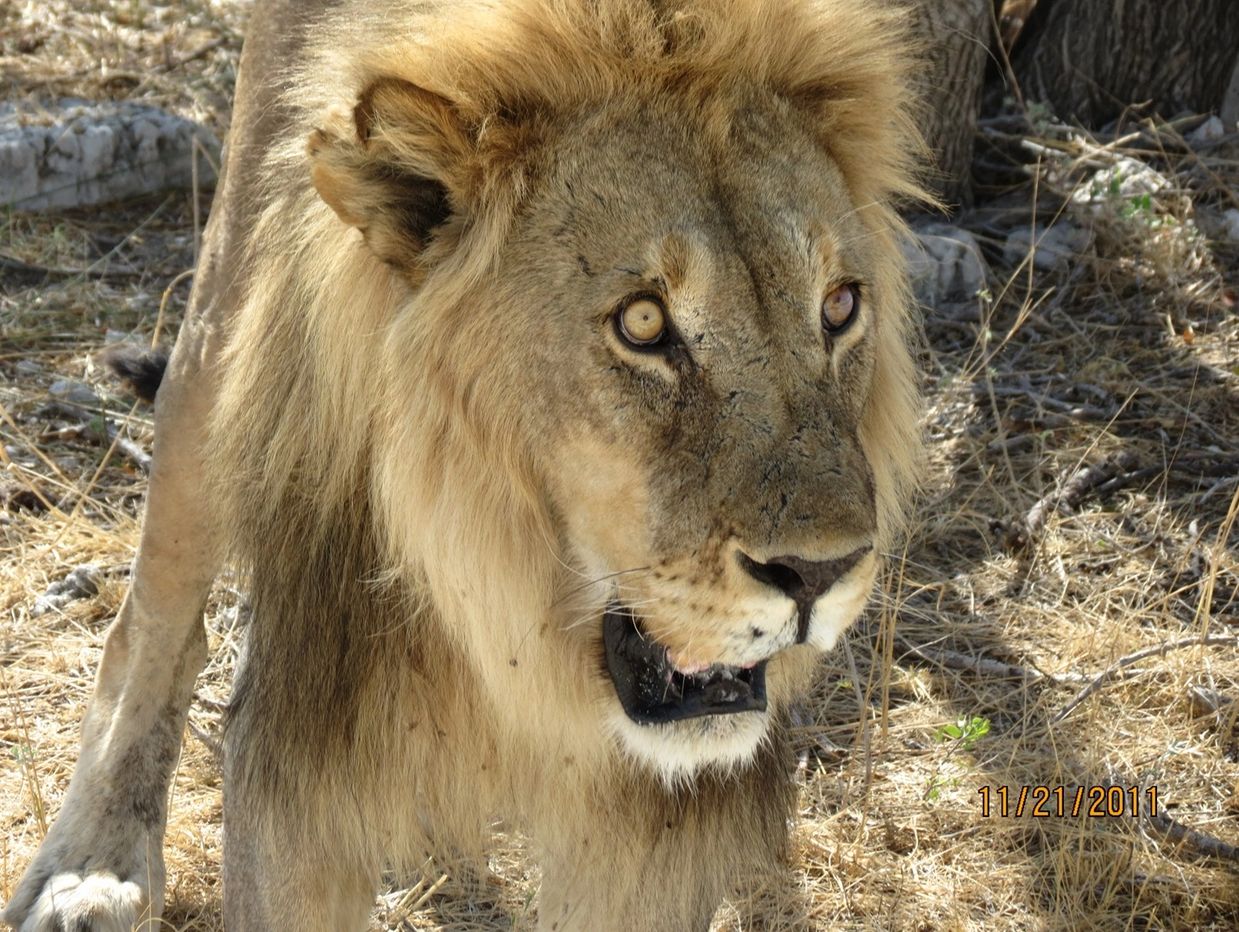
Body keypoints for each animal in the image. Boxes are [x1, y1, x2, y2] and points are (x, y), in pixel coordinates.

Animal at [3, 0, 925, 929]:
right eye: (641, 323)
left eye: (838, 306)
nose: (820, 574)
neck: (506, 591)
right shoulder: (302, 767)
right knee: (151, 611)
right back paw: (91, 866)